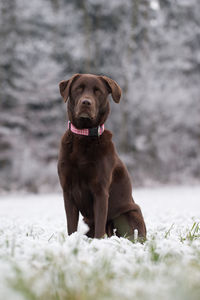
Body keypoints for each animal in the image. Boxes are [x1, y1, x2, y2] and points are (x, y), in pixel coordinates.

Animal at [57, 74, 146, 241]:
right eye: (78, 88)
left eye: (98, 91)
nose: (86, 102)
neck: (83, 136)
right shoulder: (67, 191)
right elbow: (71, 226)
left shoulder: (100, 190)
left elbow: (99, 225)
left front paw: (98, 243)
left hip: (129, 213)